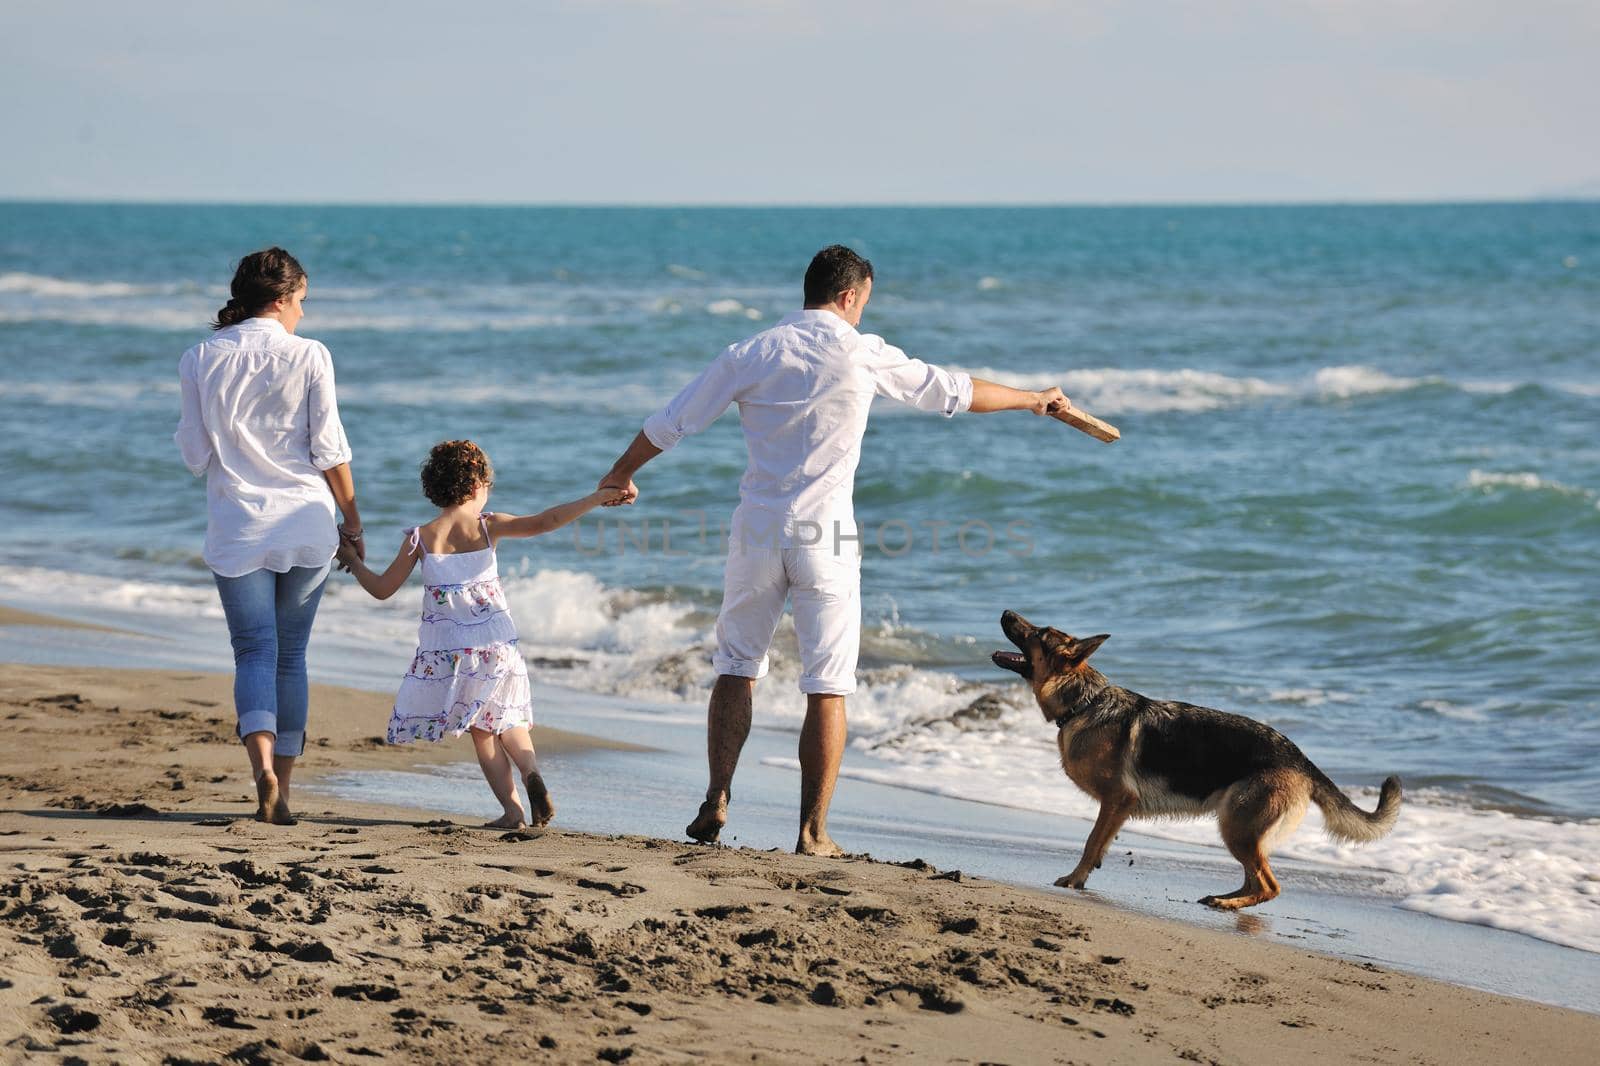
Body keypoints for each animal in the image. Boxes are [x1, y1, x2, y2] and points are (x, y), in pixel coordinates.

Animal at [985, 611, 1401, 902]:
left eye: (1038, 633)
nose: (1005, 611)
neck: (1084, 702)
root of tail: (1300, 758)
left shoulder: (1116, 799)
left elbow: (1090, 842)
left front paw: (1075, 878)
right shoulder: (1116, 808)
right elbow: (1100, 843)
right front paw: (1085, 876)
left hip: (1237, 827)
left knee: (1269, 886)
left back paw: (1226, 903)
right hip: (1238, 829)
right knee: (1255, 879)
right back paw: (1224, 898)